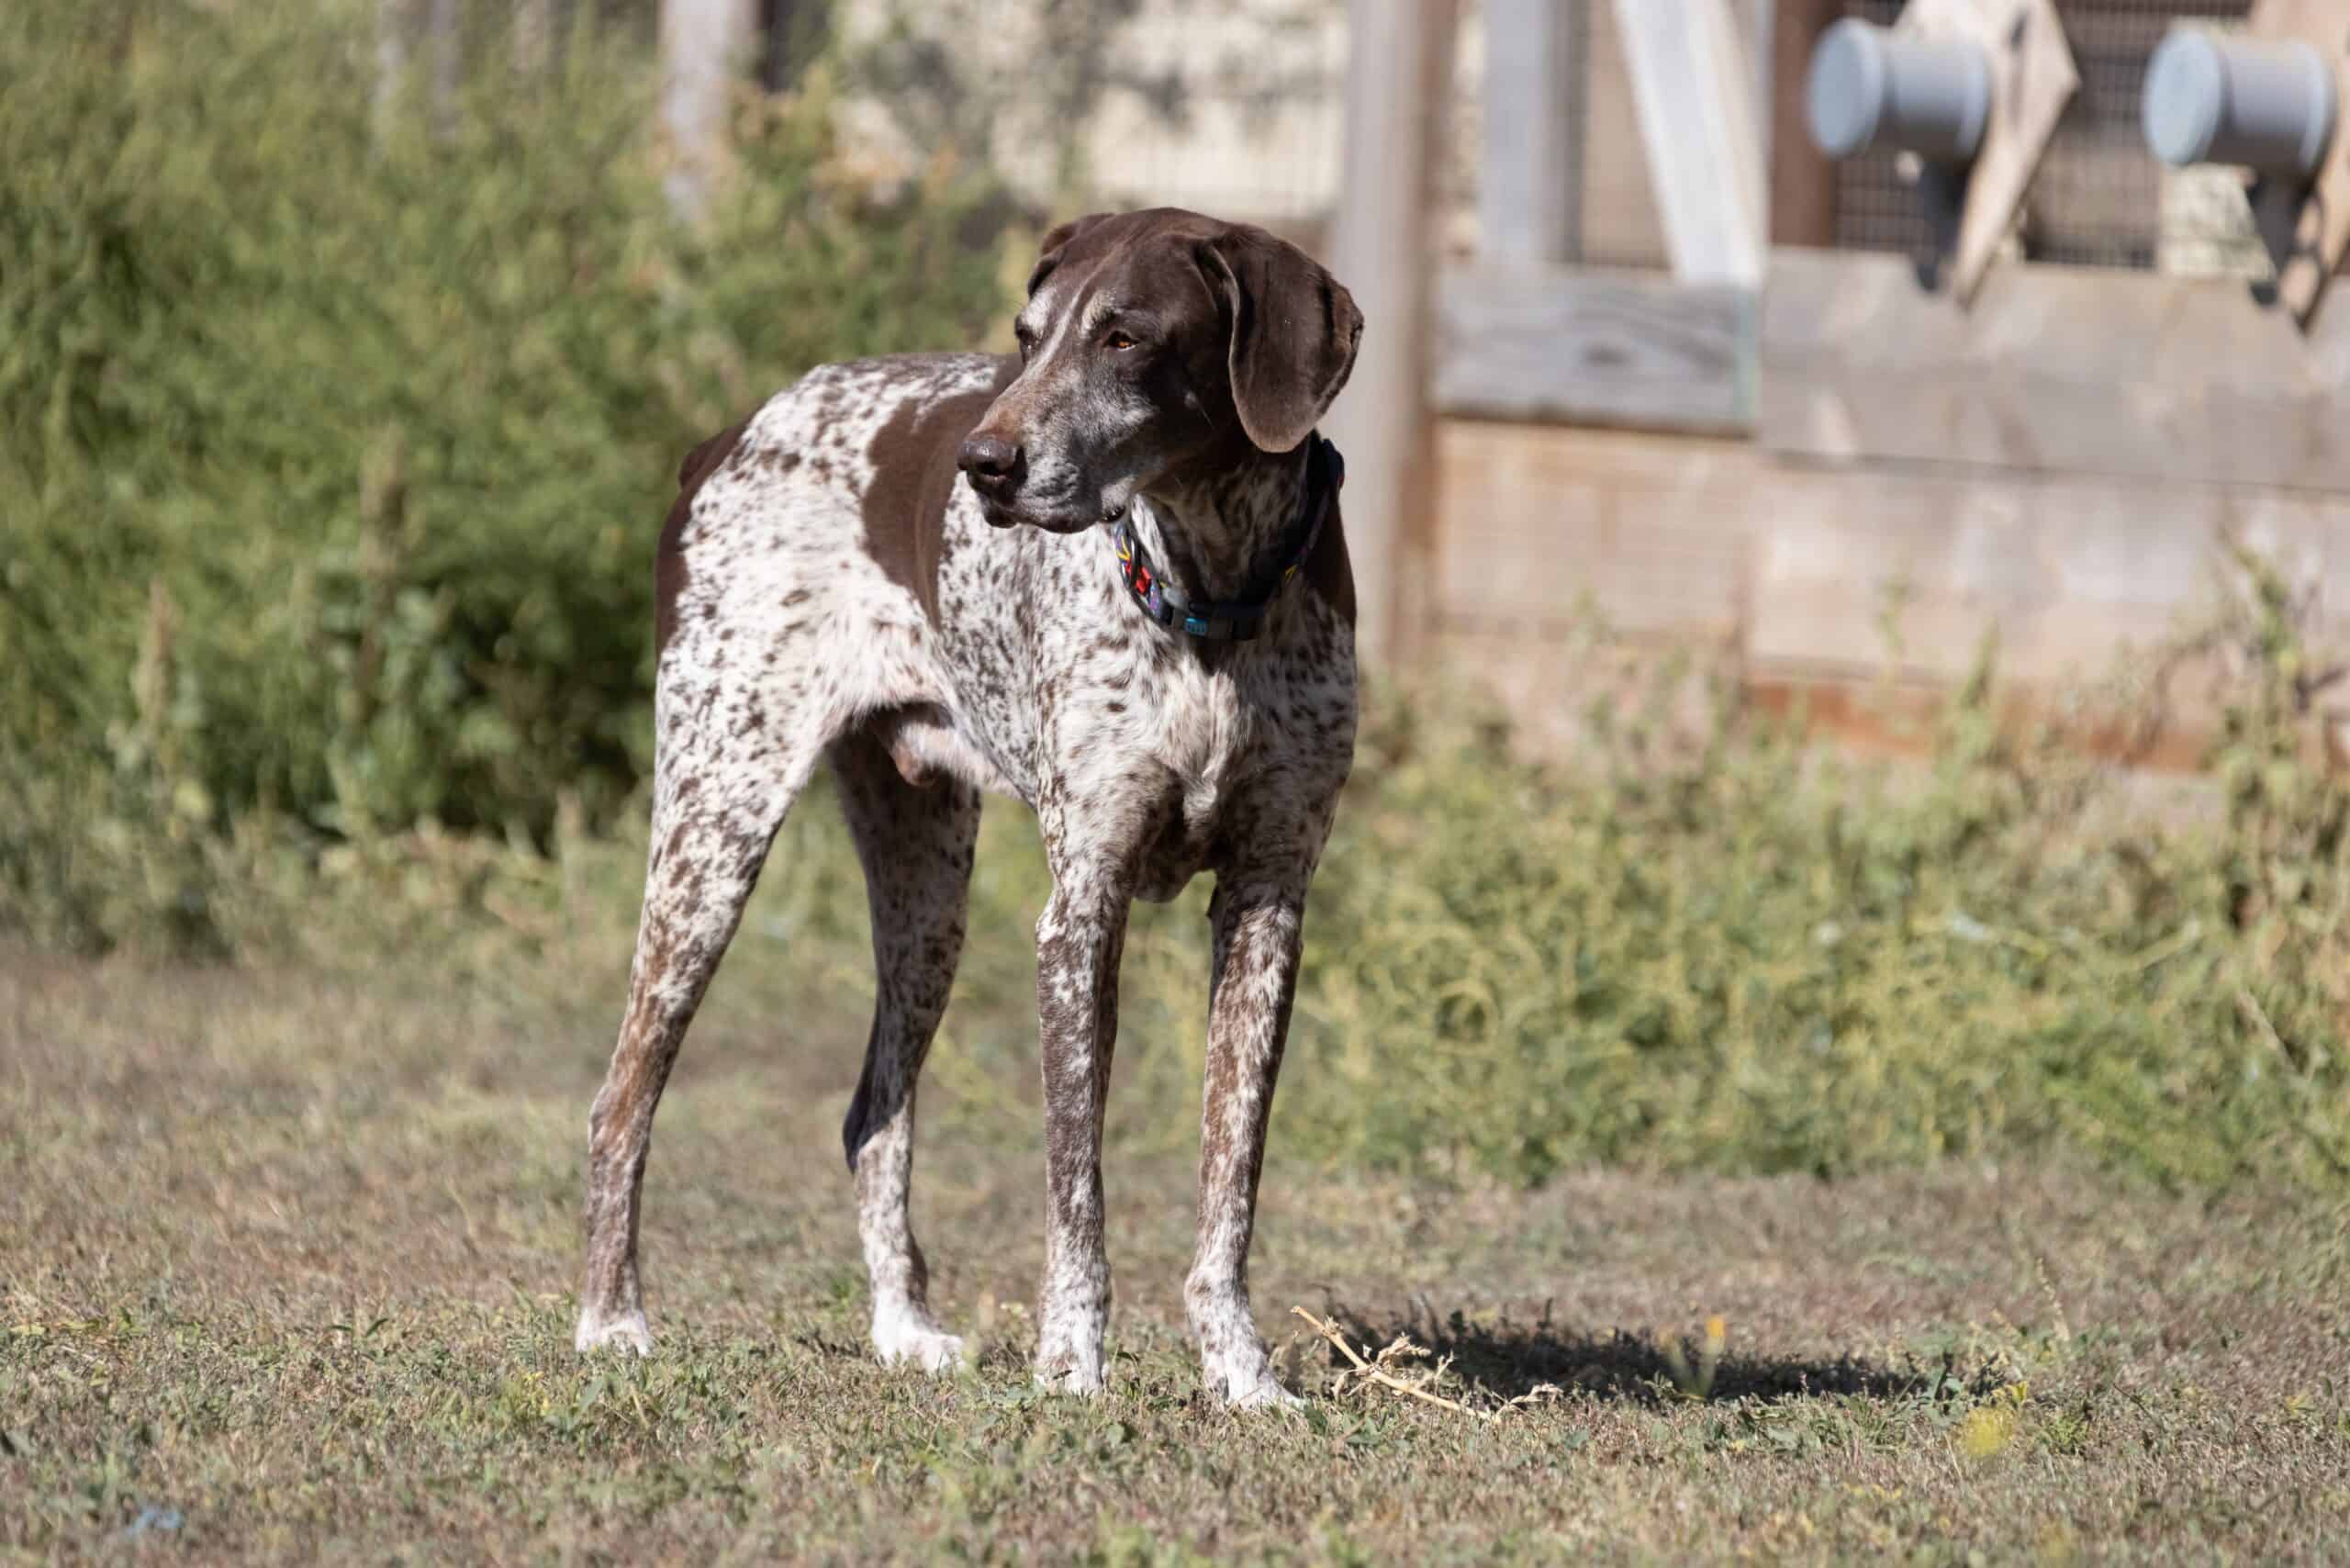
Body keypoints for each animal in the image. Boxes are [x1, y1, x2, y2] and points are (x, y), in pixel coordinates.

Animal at [571, 202, 1372, 1401]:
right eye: (1027, 336)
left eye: (1125, 338)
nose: (983, 464)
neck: (1213, 594)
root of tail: (726, 438)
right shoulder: (1082, 914)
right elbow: (1076, 1187)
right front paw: (1071, 1367)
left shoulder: (1269, 903)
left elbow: (1230, 1179)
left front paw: (1238, 1370)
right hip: (712, 838)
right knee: (621, 1100)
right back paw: (610, 1319)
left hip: (926, 903)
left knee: (872, 1117)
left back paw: (903, 1330)